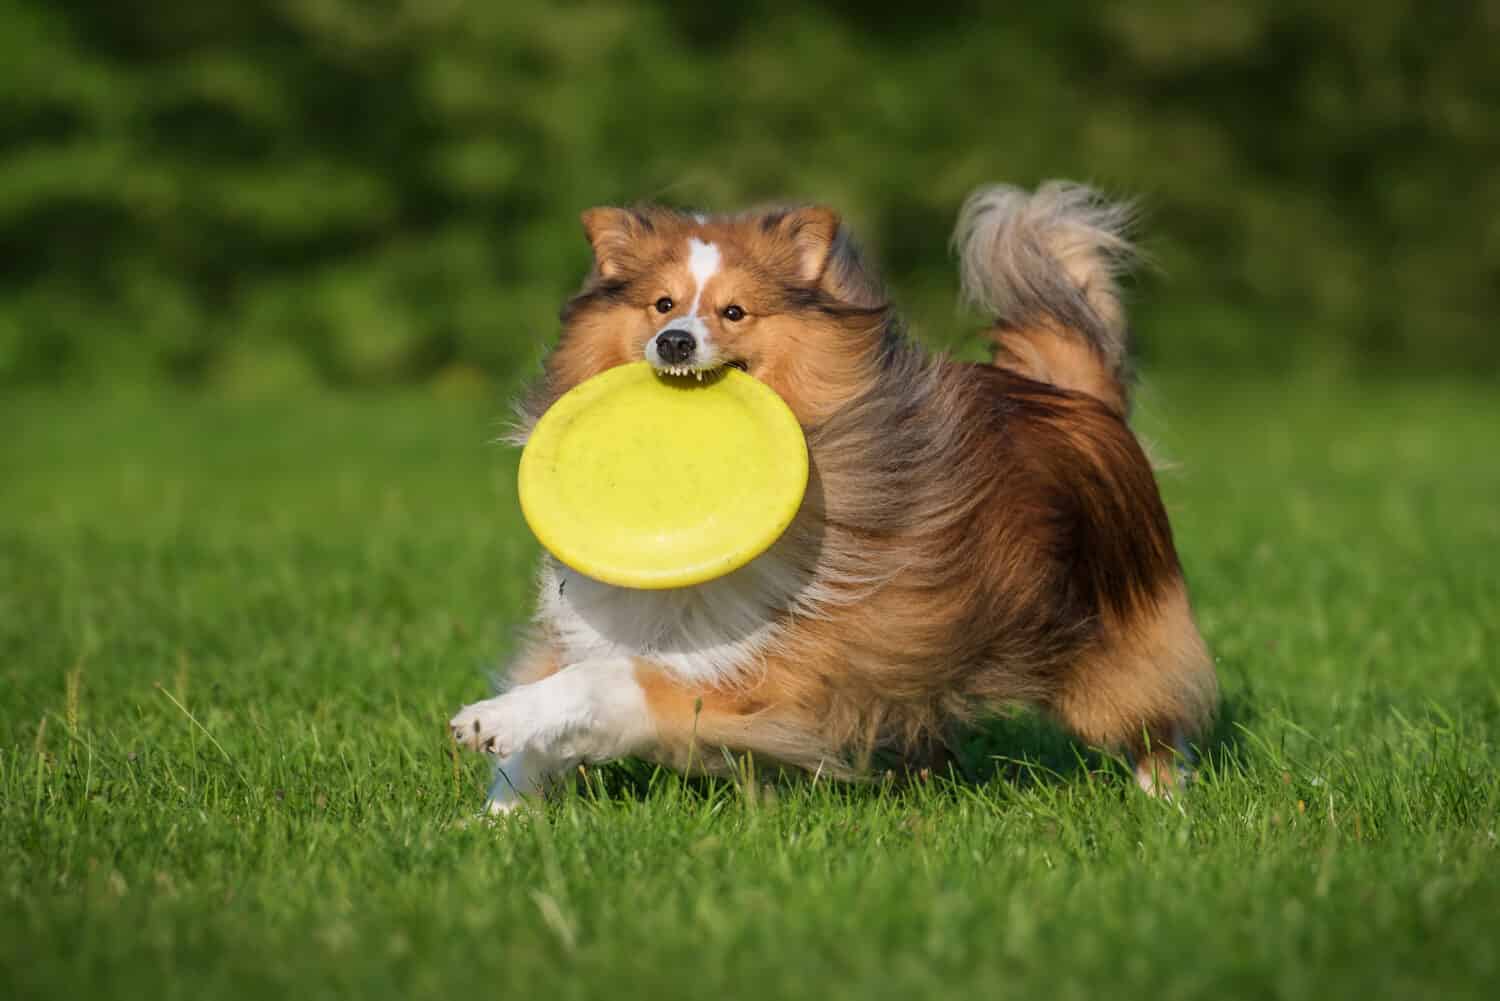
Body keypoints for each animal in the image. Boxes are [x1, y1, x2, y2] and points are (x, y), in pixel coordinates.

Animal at [447, 180, 1218, 810]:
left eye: (734, 312)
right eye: (662, 304)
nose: (673, 342)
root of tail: (1082, 401)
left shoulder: (767, 673)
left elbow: (606, 682)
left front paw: (491, 719)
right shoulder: (604, 618)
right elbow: (559, 695)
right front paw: (500, 813)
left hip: (1109, 644)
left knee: (1158, 716)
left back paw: (1164, 803)